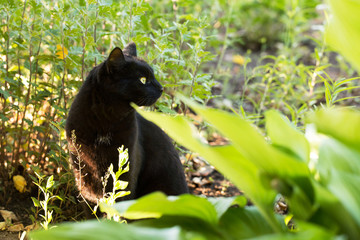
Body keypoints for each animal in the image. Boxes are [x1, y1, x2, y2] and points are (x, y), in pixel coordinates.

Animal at [65, 43, 188, 204]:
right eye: (143, 79)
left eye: (153, 76)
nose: (161, 88)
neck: (106, 120)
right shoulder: (81, 165)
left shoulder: (128, 163)